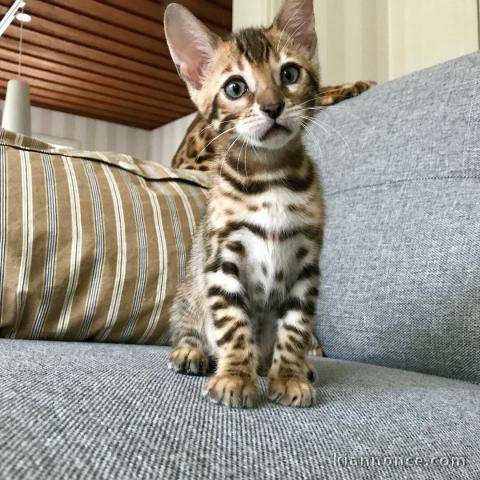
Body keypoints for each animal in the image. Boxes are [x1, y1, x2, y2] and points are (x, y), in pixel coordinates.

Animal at [165, 0, 330, 408]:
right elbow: (233, 324)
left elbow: (296, 327)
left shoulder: (306, 265)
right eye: (235, 87)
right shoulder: (222, 258)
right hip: (188, 295)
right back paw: (191, 352)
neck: (269, 178)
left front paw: (288, 376)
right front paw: (235, 377)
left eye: (289, 73)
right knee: (190, 327)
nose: (273, 106)